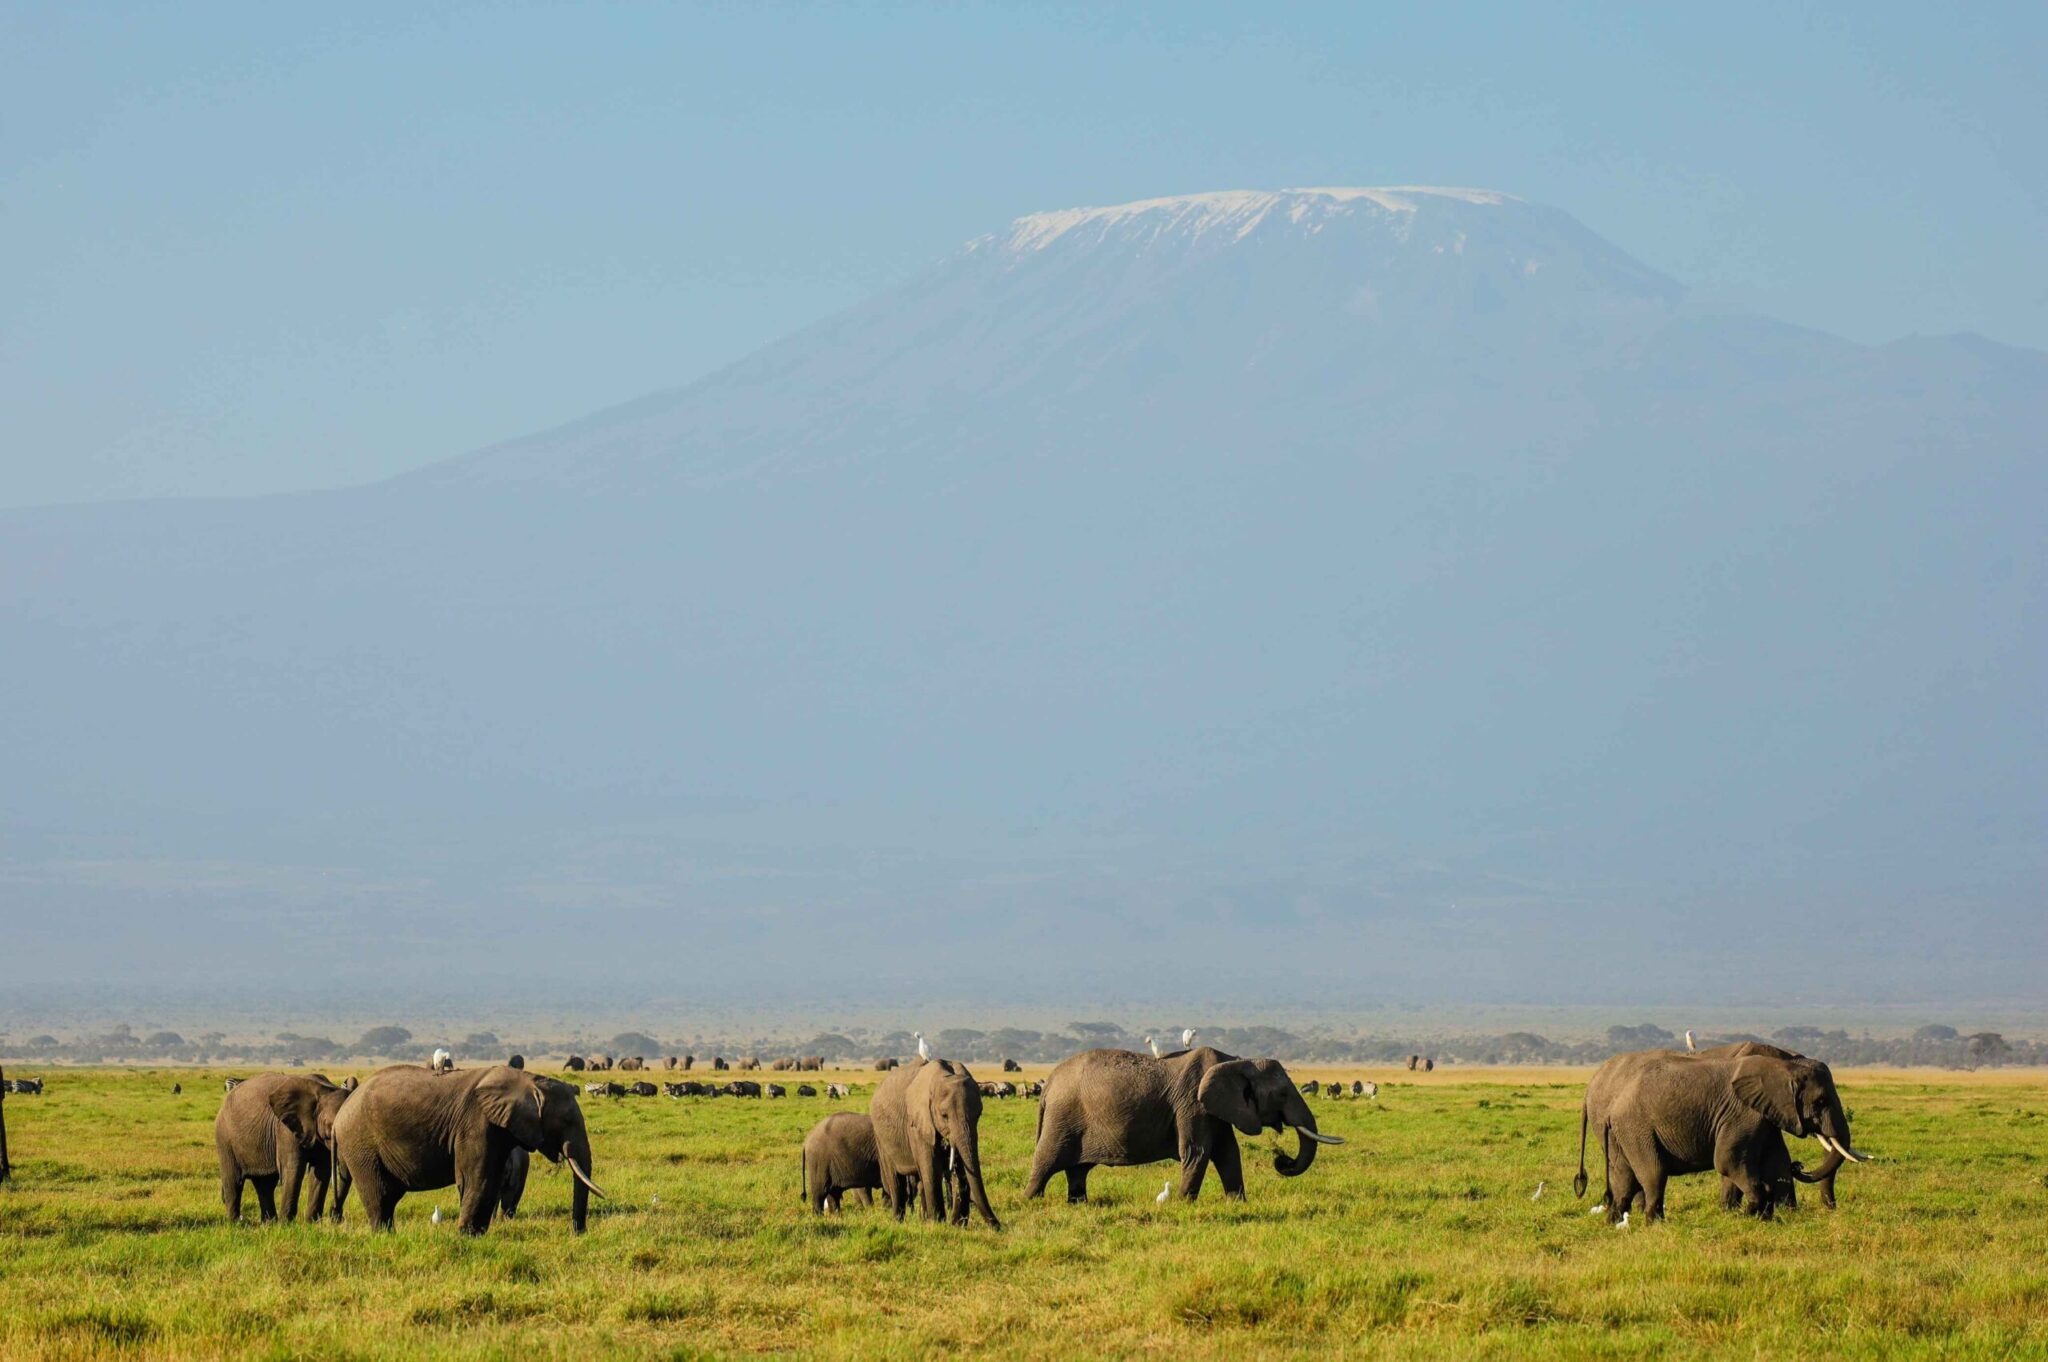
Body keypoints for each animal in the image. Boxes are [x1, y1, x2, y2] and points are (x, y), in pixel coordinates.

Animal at [214, 1072, 353, 1223]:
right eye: (329, 1125)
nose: (336, 1216)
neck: (324, 1091)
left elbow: (321, 1170)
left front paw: (312, 1223)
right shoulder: (285, 1128)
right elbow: (294, 1167)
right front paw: (286, 1224)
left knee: (265, 1183)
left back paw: (269, 1223)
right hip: (225, 1137)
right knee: (234, 1181)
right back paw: (237, 1223)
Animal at [332, 1064, 604, 1234]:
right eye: (567, 1121)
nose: (579, 1232)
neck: (528, 1079)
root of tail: (339, 1116)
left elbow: (491, 1179)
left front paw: (478, 1235)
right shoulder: (475, 1125)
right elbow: (478, 1178)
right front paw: (466, 1236)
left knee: (389, 1196)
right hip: (360, 1144)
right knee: (379, 1194)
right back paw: (384, 1235)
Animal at [870, 1058, 1000, 1228]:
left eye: (979, 1115)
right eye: (944, 1116)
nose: (998, 1226)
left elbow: (961, 1169)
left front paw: (956, 1225)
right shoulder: (918, 1124)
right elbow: (931, 1168)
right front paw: (938, 1223)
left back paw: (923, 1219)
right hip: (880, 1137)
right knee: (895, 1181)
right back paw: (898, 1221)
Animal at [1024, 1047, 1341, 1204]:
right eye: (1283, 1094)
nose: (1281, 1160)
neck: (1237, 1061)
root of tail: (1048, 1083)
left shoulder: (1215, 1108)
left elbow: (1228, 1153)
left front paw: (1237, 1203)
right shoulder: (1192, 1103)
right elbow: (1197, 1152)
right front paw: (1182, 1204)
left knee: (1078, 1169)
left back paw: (1078, 1203)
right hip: (1063, 1117)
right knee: (1046, 1161)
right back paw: (1031, 1202)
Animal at [1574, 1048, 1865, 1222]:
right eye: (1820, 1102)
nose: (1800, 1165)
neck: (1784, 1065)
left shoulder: (1764, 1116)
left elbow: (1776, 1161)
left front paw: (1775, 1216)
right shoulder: (1742, 1113)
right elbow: (1728, 1161)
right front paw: (1749, 1214)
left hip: (1621, 1132)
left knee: (1624, 1175)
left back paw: (1615, 1221)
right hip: (1636, 1129)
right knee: (1653, 1173)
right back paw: (1653, 1223)